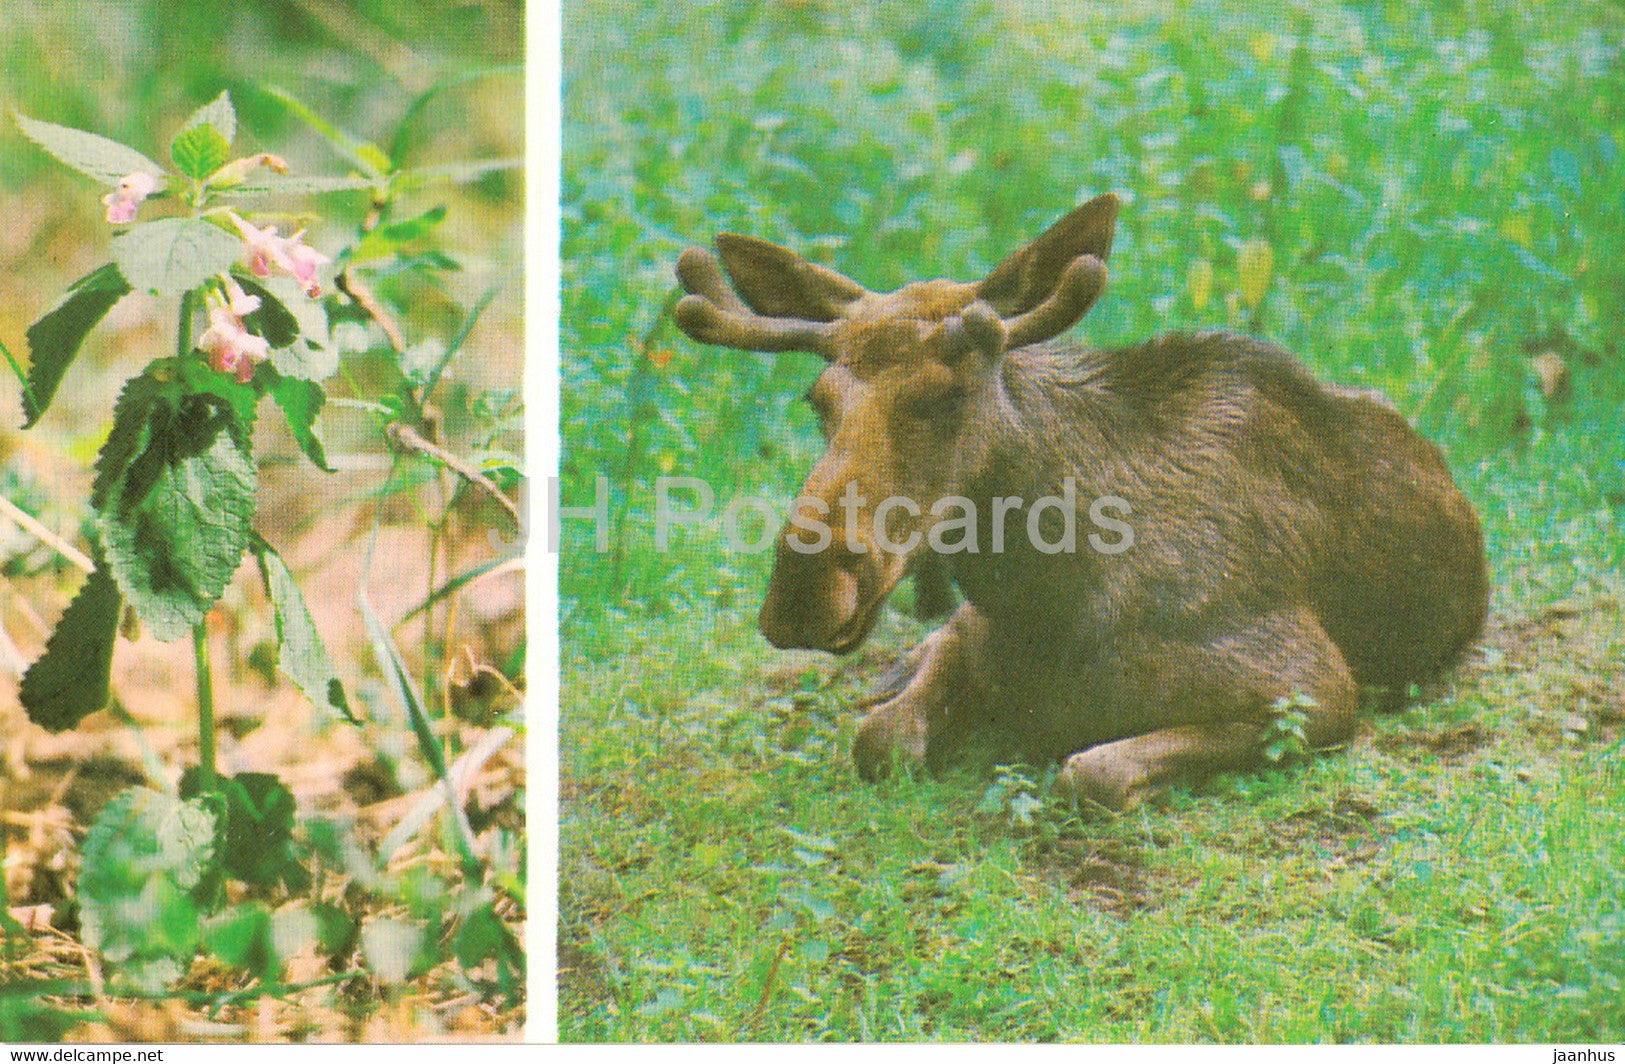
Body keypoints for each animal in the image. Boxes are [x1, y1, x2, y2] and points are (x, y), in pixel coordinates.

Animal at [672, 192, 1489, 809]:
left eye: (948, 396)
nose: (803, 593)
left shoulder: (1313, 688)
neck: (1044, 597)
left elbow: (1089, 771)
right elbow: (883, 739)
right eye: (818, 401)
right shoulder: (977, 633)